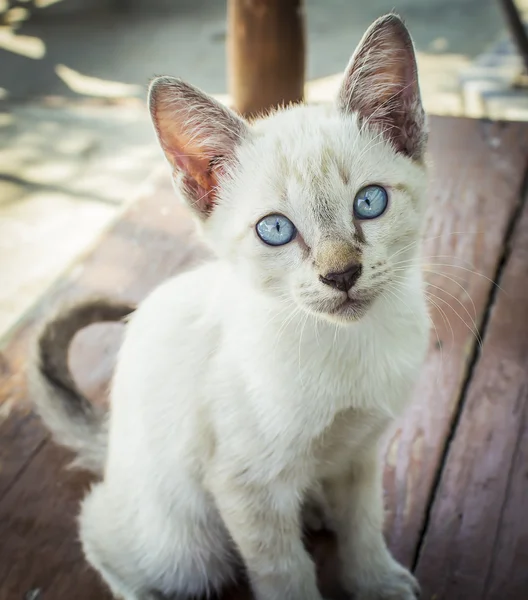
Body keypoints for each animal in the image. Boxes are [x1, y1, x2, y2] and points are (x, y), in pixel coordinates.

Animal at [29, 14, 428, 600]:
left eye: (369, 202)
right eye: (276, 230)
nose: (341, 275)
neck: (345, 348)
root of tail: (112, 446)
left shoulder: (360, 452)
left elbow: (364, 526)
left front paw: (376, 583)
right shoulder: (246, 486)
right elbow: (287, 575)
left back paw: (316, 510)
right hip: (185, 550)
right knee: (99, 531)